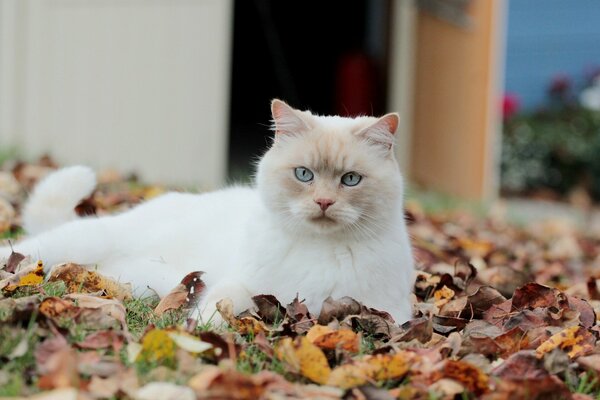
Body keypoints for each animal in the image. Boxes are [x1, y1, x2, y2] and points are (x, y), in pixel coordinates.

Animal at [0, 100, 414, 324]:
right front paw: (201, 330)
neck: (319, 249)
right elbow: (218, 306)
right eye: (304, 175)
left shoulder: (389, 311)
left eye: (350, 180)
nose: (324, 203)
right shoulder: (242, 284)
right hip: (78, 241)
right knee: (18, 249)